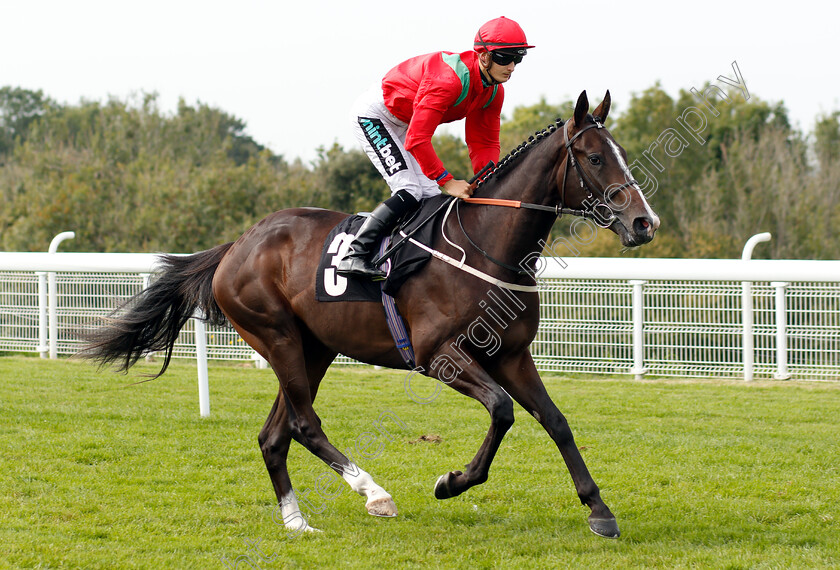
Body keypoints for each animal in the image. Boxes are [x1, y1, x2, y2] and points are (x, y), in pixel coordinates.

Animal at [82, 90, 660, 536]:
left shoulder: (513, 355)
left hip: (313, 348)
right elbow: (501, 410)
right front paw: (451, 483)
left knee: (275, 434)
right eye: (593, 158)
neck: (485, 246)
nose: (644, 223)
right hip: (276, 335)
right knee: (304, 423)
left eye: (621, 152)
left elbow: (556, 421)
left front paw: (599, 510)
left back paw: (296, 522)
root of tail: (237, 245)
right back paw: (373, 492)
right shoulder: (438, 355)